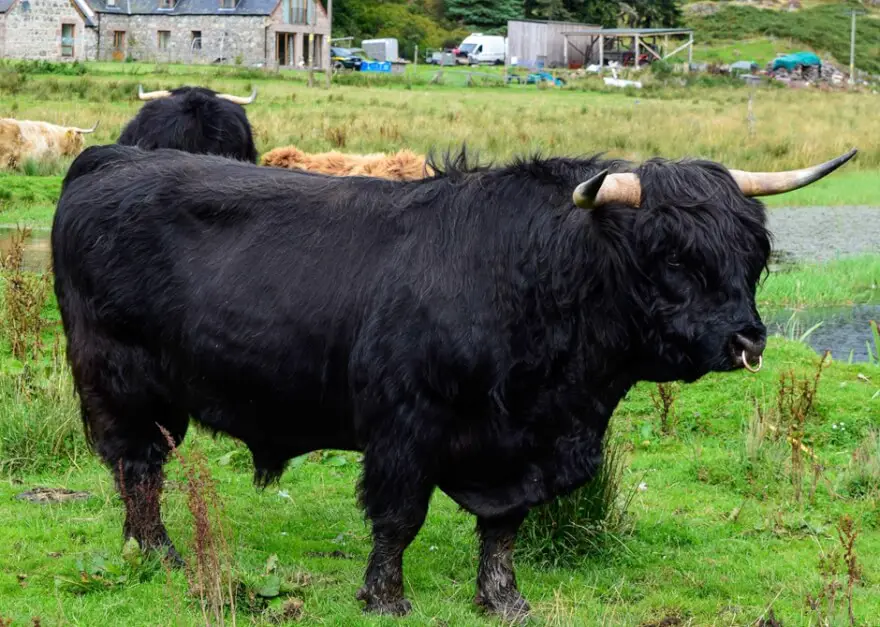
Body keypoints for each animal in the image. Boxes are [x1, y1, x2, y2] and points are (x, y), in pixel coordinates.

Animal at [51, 145, 856, 620]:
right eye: (672, 255)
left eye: (751, 252)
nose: (747, 339)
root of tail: (113, 155)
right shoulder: (404, 428)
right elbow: (398, 519)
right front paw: (385, 597)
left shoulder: (518, 446)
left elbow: (504, 528)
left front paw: (503, 598)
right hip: (119, 381)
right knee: (137, 466)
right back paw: (157, 552)